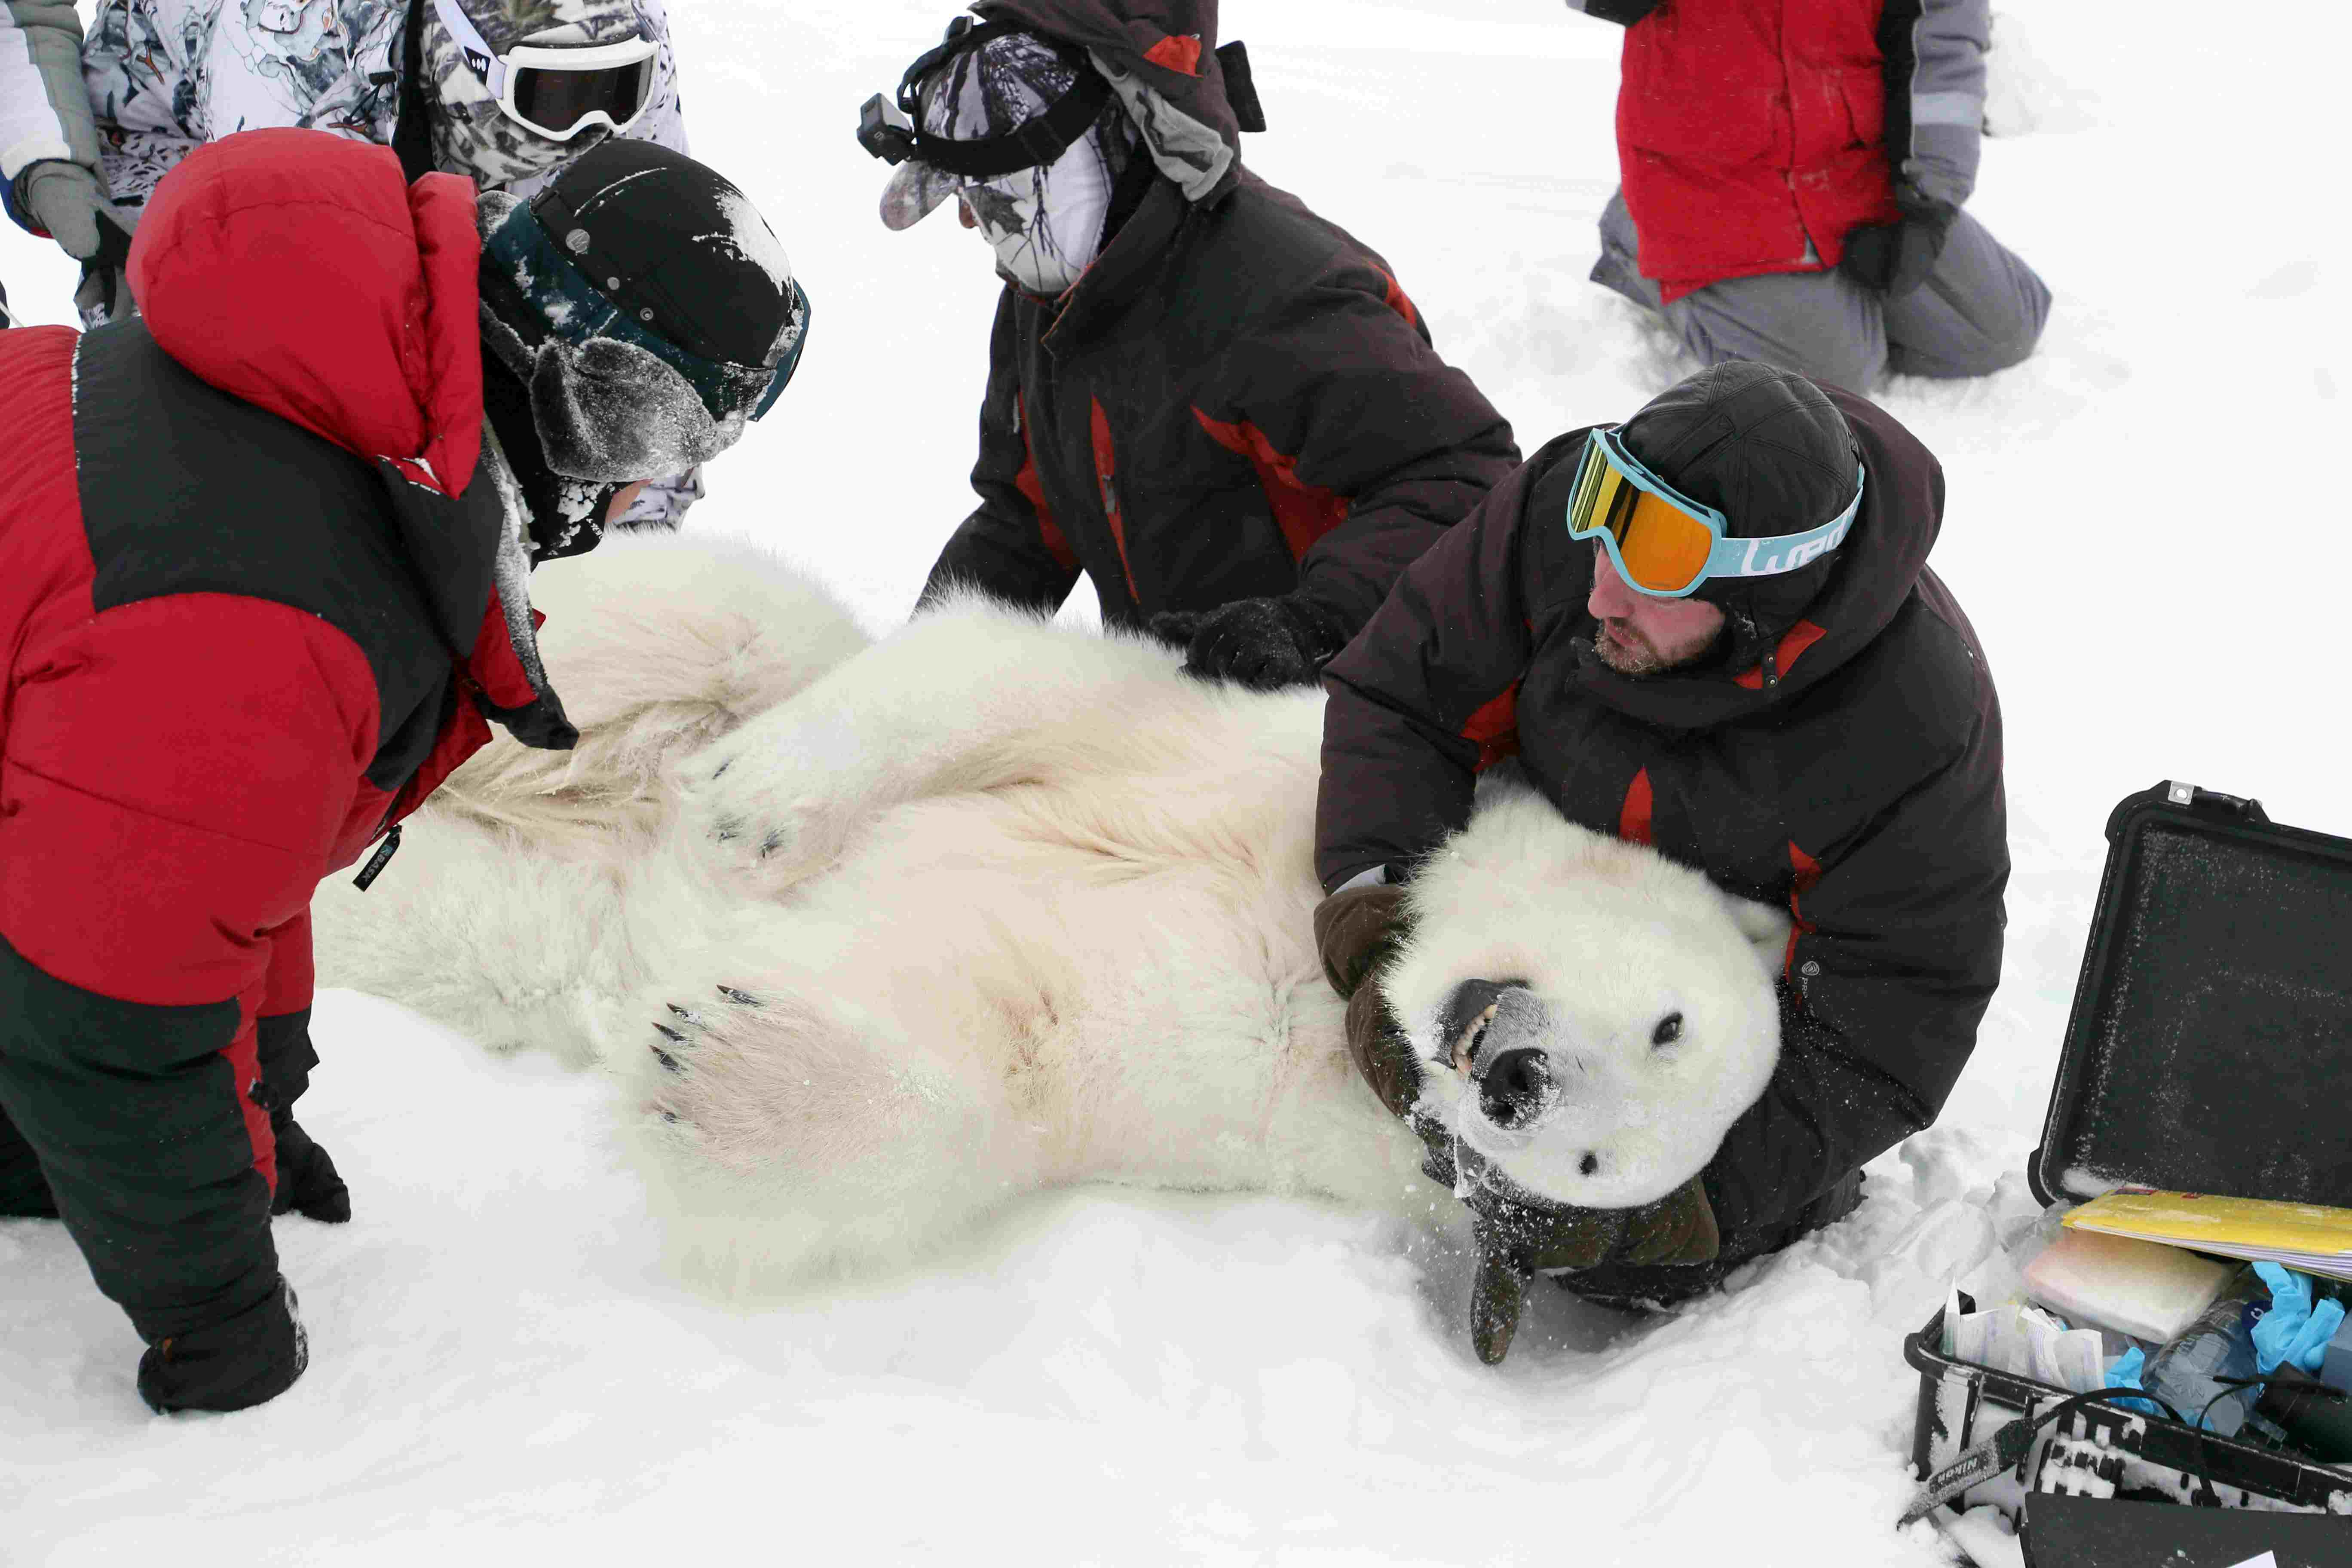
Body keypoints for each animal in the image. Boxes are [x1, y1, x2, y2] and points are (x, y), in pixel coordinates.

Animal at [312, 533, 1778, 1298]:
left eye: (1598, 1163)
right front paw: (757, 809)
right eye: (1669, 1019)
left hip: (534, 929)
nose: (1518, 1076)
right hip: (693, 653)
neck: (1333, 992)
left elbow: (984, 1074)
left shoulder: (1199, 1085)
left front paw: (720, 1057)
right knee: (698, 628)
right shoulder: (1246, 761)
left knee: (459, 919)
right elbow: (1027, 689)